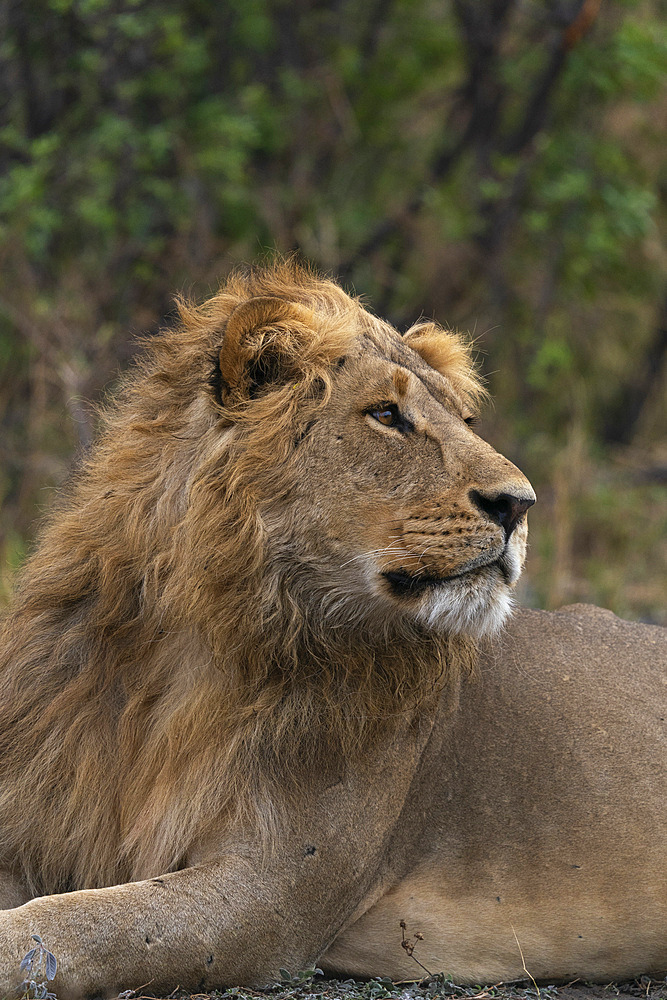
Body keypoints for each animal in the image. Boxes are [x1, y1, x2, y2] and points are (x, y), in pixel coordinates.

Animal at [0, 262, 664, 996]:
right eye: (386, 415)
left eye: (464, 421)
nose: (519, 505)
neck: (199, 640)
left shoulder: (272, 896)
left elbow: (78, 922)